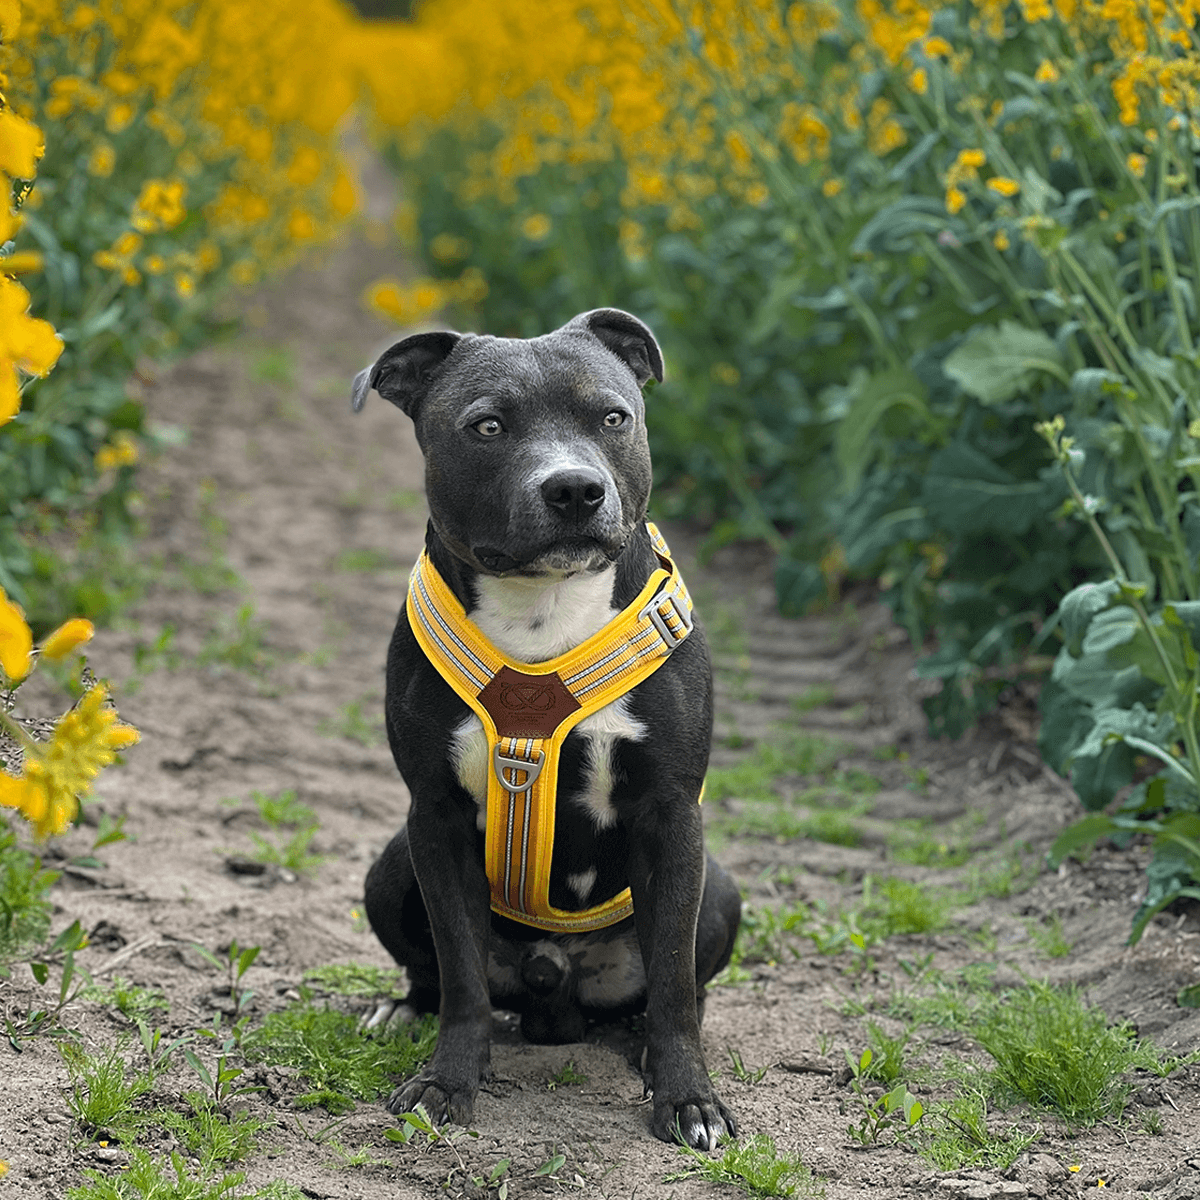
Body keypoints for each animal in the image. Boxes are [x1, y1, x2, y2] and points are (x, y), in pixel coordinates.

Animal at [350, 304, 739, 1147]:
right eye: (487, 426)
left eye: (614, 417)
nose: (575, 488)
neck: (544, 606)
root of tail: (553, 992)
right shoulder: (433, 818)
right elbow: (461, 975)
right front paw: (446, 1083)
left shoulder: (672, 816)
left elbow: (672, 978)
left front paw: (688, 1098)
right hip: (389, 867)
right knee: (433, 974)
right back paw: (402, 1011)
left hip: (720, 889)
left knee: (676, 989)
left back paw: (645, 1047)